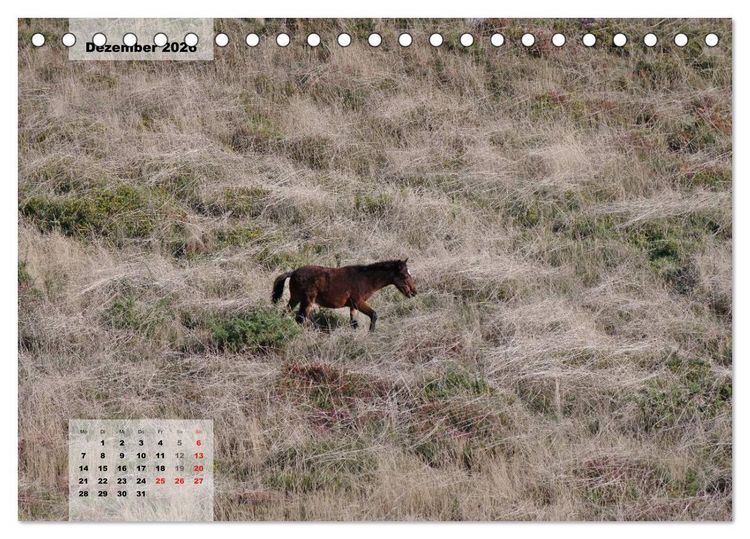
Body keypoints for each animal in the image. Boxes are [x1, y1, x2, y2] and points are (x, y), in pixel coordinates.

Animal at [271, 259, 417, 331]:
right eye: (404, 275)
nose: (414, 292)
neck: (365, 279)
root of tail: (293, 272)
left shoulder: (353, 306)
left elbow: (354, 324)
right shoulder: (358, 302)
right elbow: (374, 315)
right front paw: (371, 333)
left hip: (295, 299)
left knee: (286, 313)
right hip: (307, 301)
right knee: (300, 319)